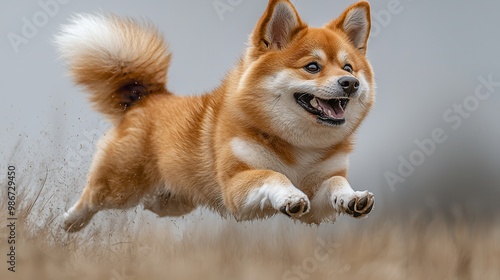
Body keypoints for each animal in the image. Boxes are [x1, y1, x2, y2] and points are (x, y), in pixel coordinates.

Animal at [55, 0, 376, 232]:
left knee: (149, 203)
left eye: (348, 67)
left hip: (172, 201)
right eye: (312, 67)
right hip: (120, 187)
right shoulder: (235, 187)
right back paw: (69, 221)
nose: (351, 83)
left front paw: (353, 198)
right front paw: (290, 196)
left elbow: (335, 184)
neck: (299, 148)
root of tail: (146, 97)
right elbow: (272, 175)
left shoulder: (319, 199)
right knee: (91, 197)